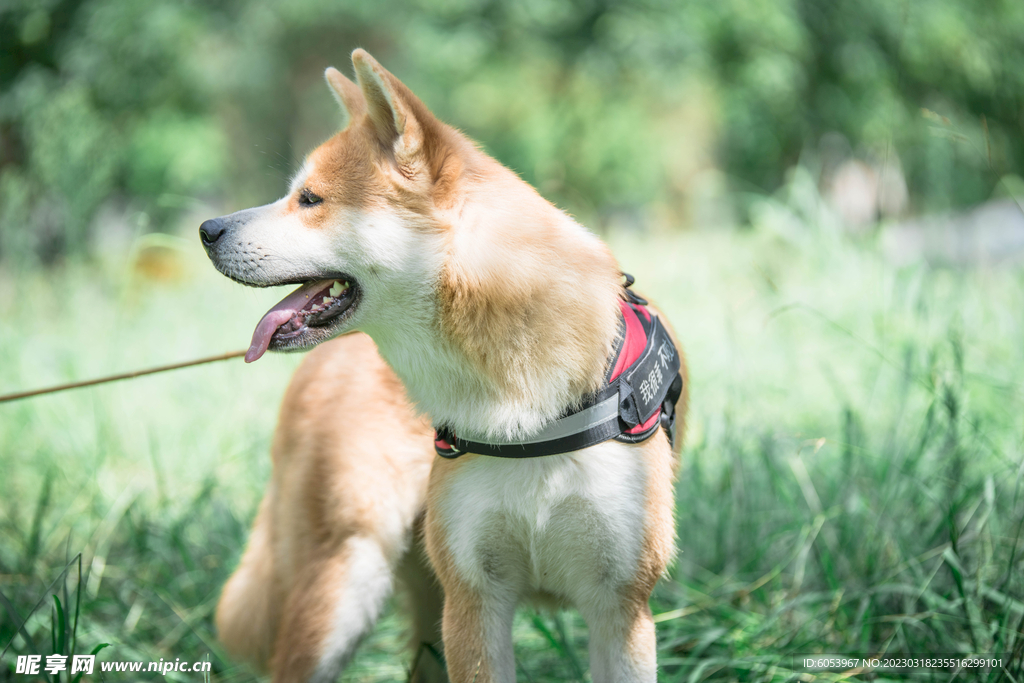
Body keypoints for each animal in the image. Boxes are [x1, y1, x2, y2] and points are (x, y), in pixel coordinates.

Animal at [201, 49, 688, 683]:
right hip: (346, 581)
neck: (524, 407)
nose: (206, 229)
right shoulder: (474, 602)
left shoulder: (621, 608)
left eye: (309, 199)